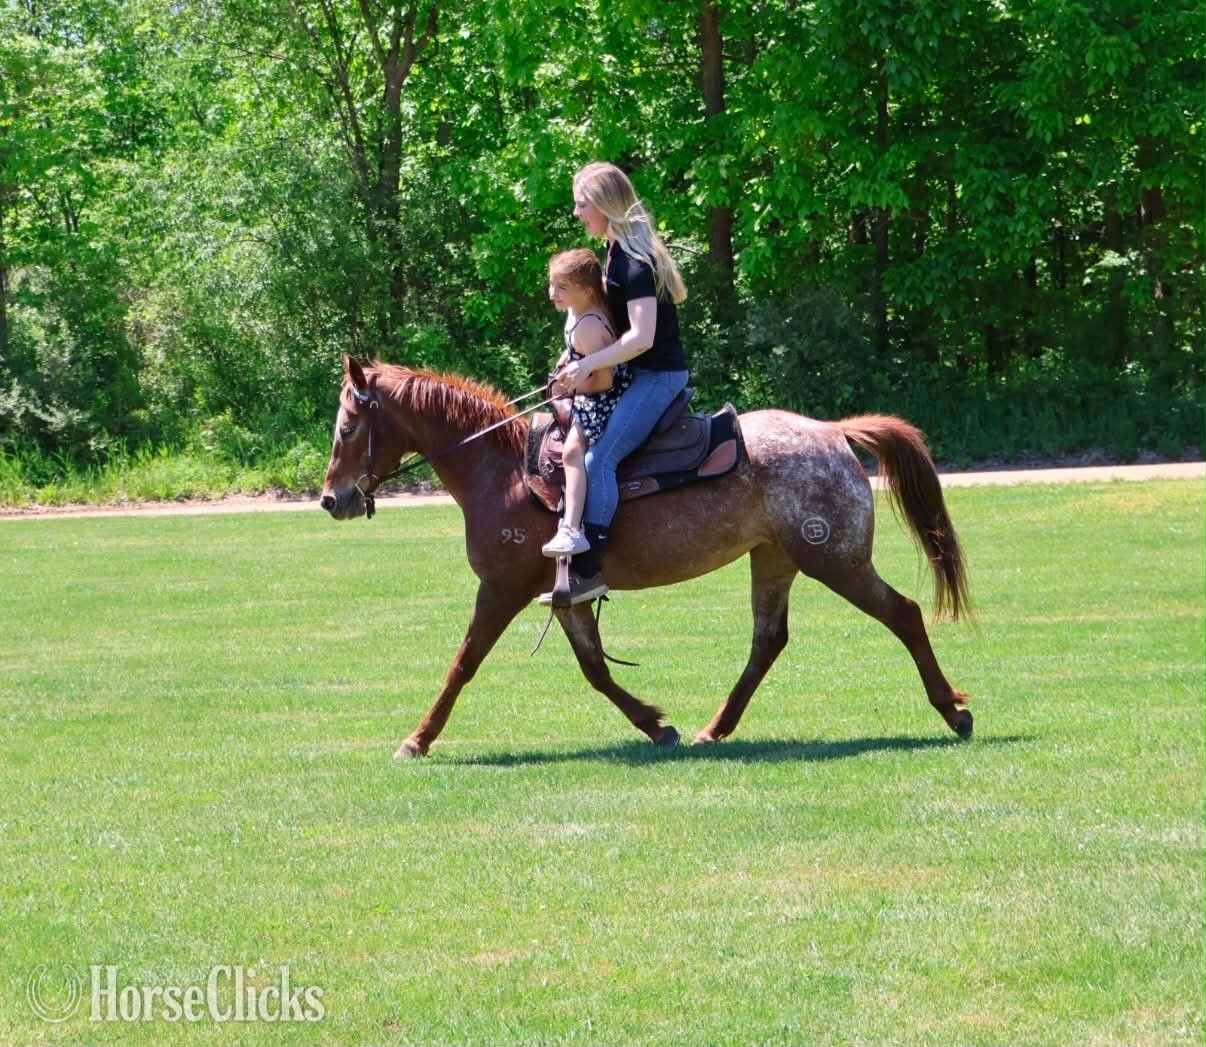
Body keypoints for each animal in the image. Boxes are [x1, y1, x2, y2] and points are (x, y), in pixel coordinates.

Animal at [319, 355, 973, 758]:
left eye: (348, 427)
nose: (331, 498)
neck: (500, 472)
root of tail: (835, 433)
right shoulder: (566, 596)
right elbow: (596, 669)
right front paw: (656, 726)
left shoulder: (502, 588)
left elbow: (463, 663)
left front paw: (417, 738)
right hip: (775, 558)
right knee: (769, 641)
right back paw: (715, 727)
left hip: (834, 559)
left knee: (905, 614)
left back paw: (953, 711)